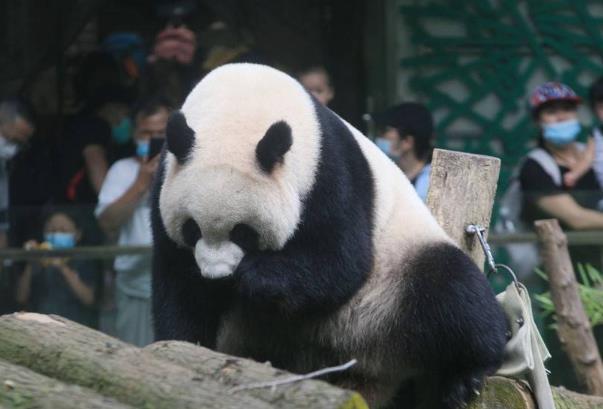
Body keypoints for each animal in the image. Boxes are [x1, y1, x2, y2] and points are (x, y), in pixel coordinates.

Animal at [151, 63, 510, 408]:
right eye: (192, 228)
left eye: (243, 233)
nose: (217, 276)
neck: (241, 104)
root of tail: (375, 373)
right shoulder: (165, 179)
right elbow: (179, 280)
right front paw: (185, 344)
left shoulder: (329, 170)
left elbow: (340, 261)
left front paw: (255, 276)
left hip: (395, 278)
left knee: (453, 292)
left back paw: (465, 377)